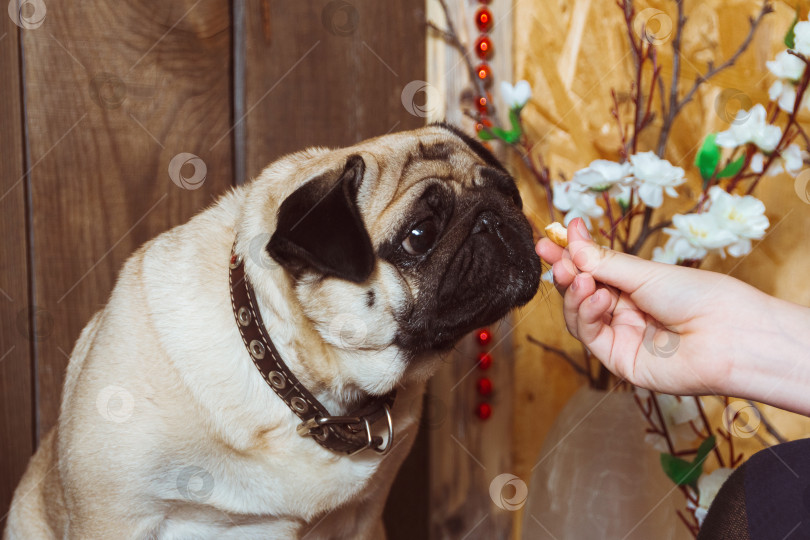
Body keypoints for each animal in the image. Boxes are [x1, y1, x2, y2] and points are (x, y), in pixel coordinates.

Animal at [6, 123, 540, 540]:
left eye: (508, 193)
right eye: (420, 236)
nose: (492, 218)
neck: (307, 388)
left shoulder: (362, 520)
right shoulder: (113, 517)